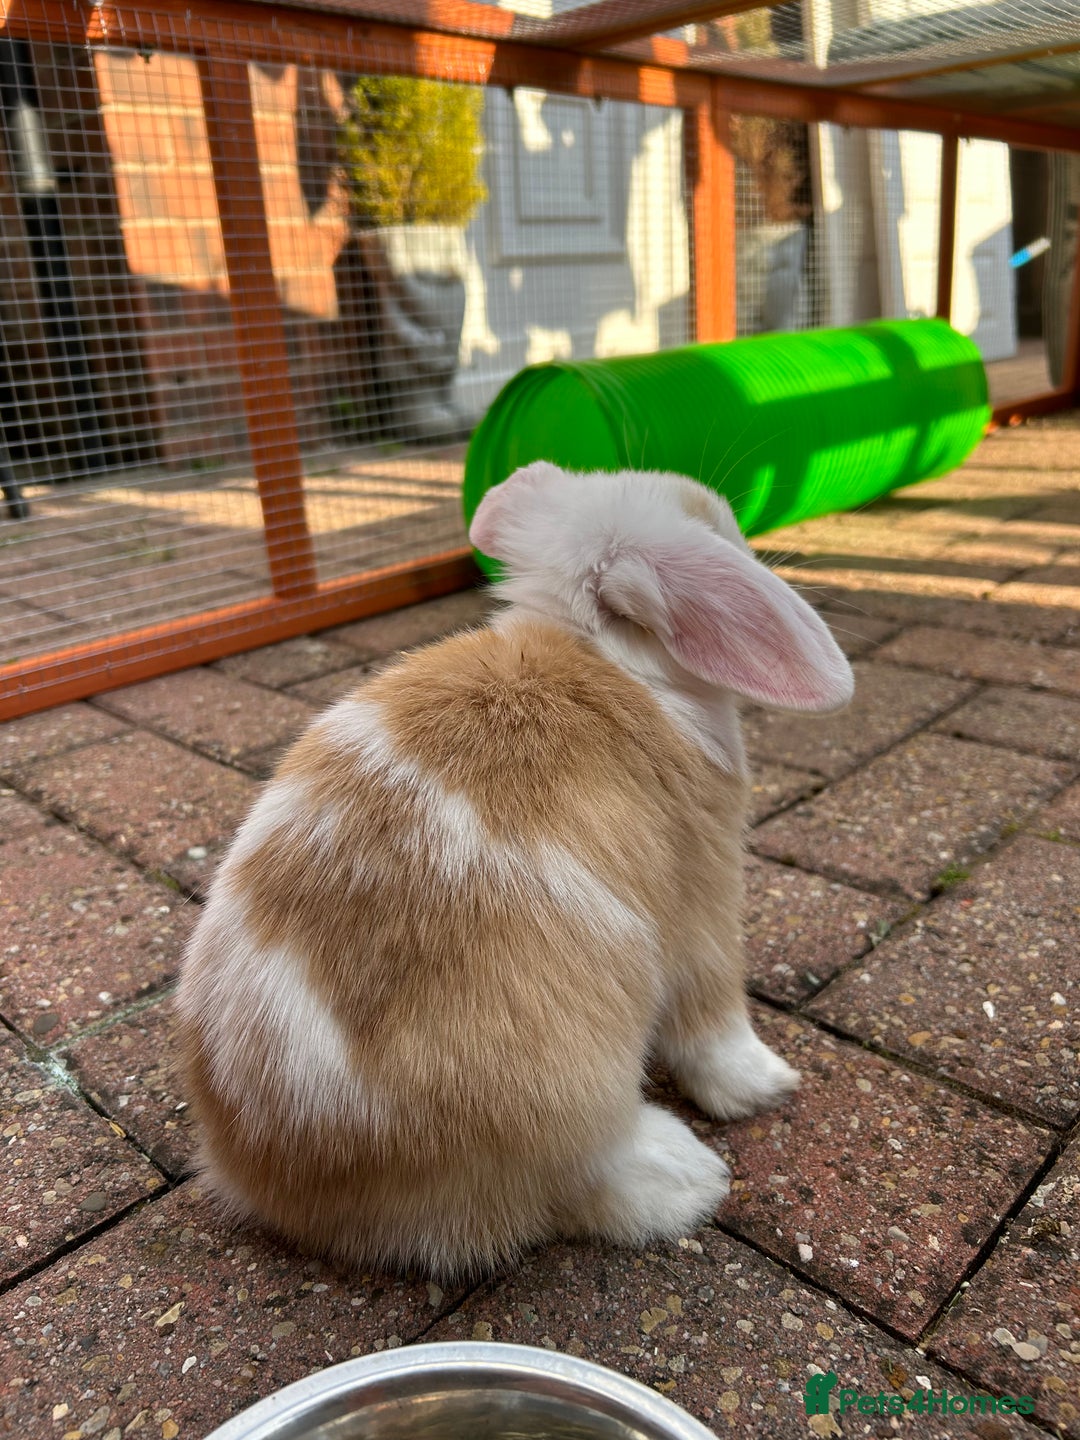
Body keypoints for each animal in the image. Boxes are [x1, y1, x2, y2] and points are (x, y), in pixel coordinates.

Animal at [176, 462, 853, 1280]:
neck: (598, 652)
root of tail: (265, 1174)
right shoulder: (704, 898)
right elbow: (714, 1022)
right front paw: (768, 1086)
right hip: (576, 1091)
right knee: (581, 1184)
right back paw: (690, 1176)